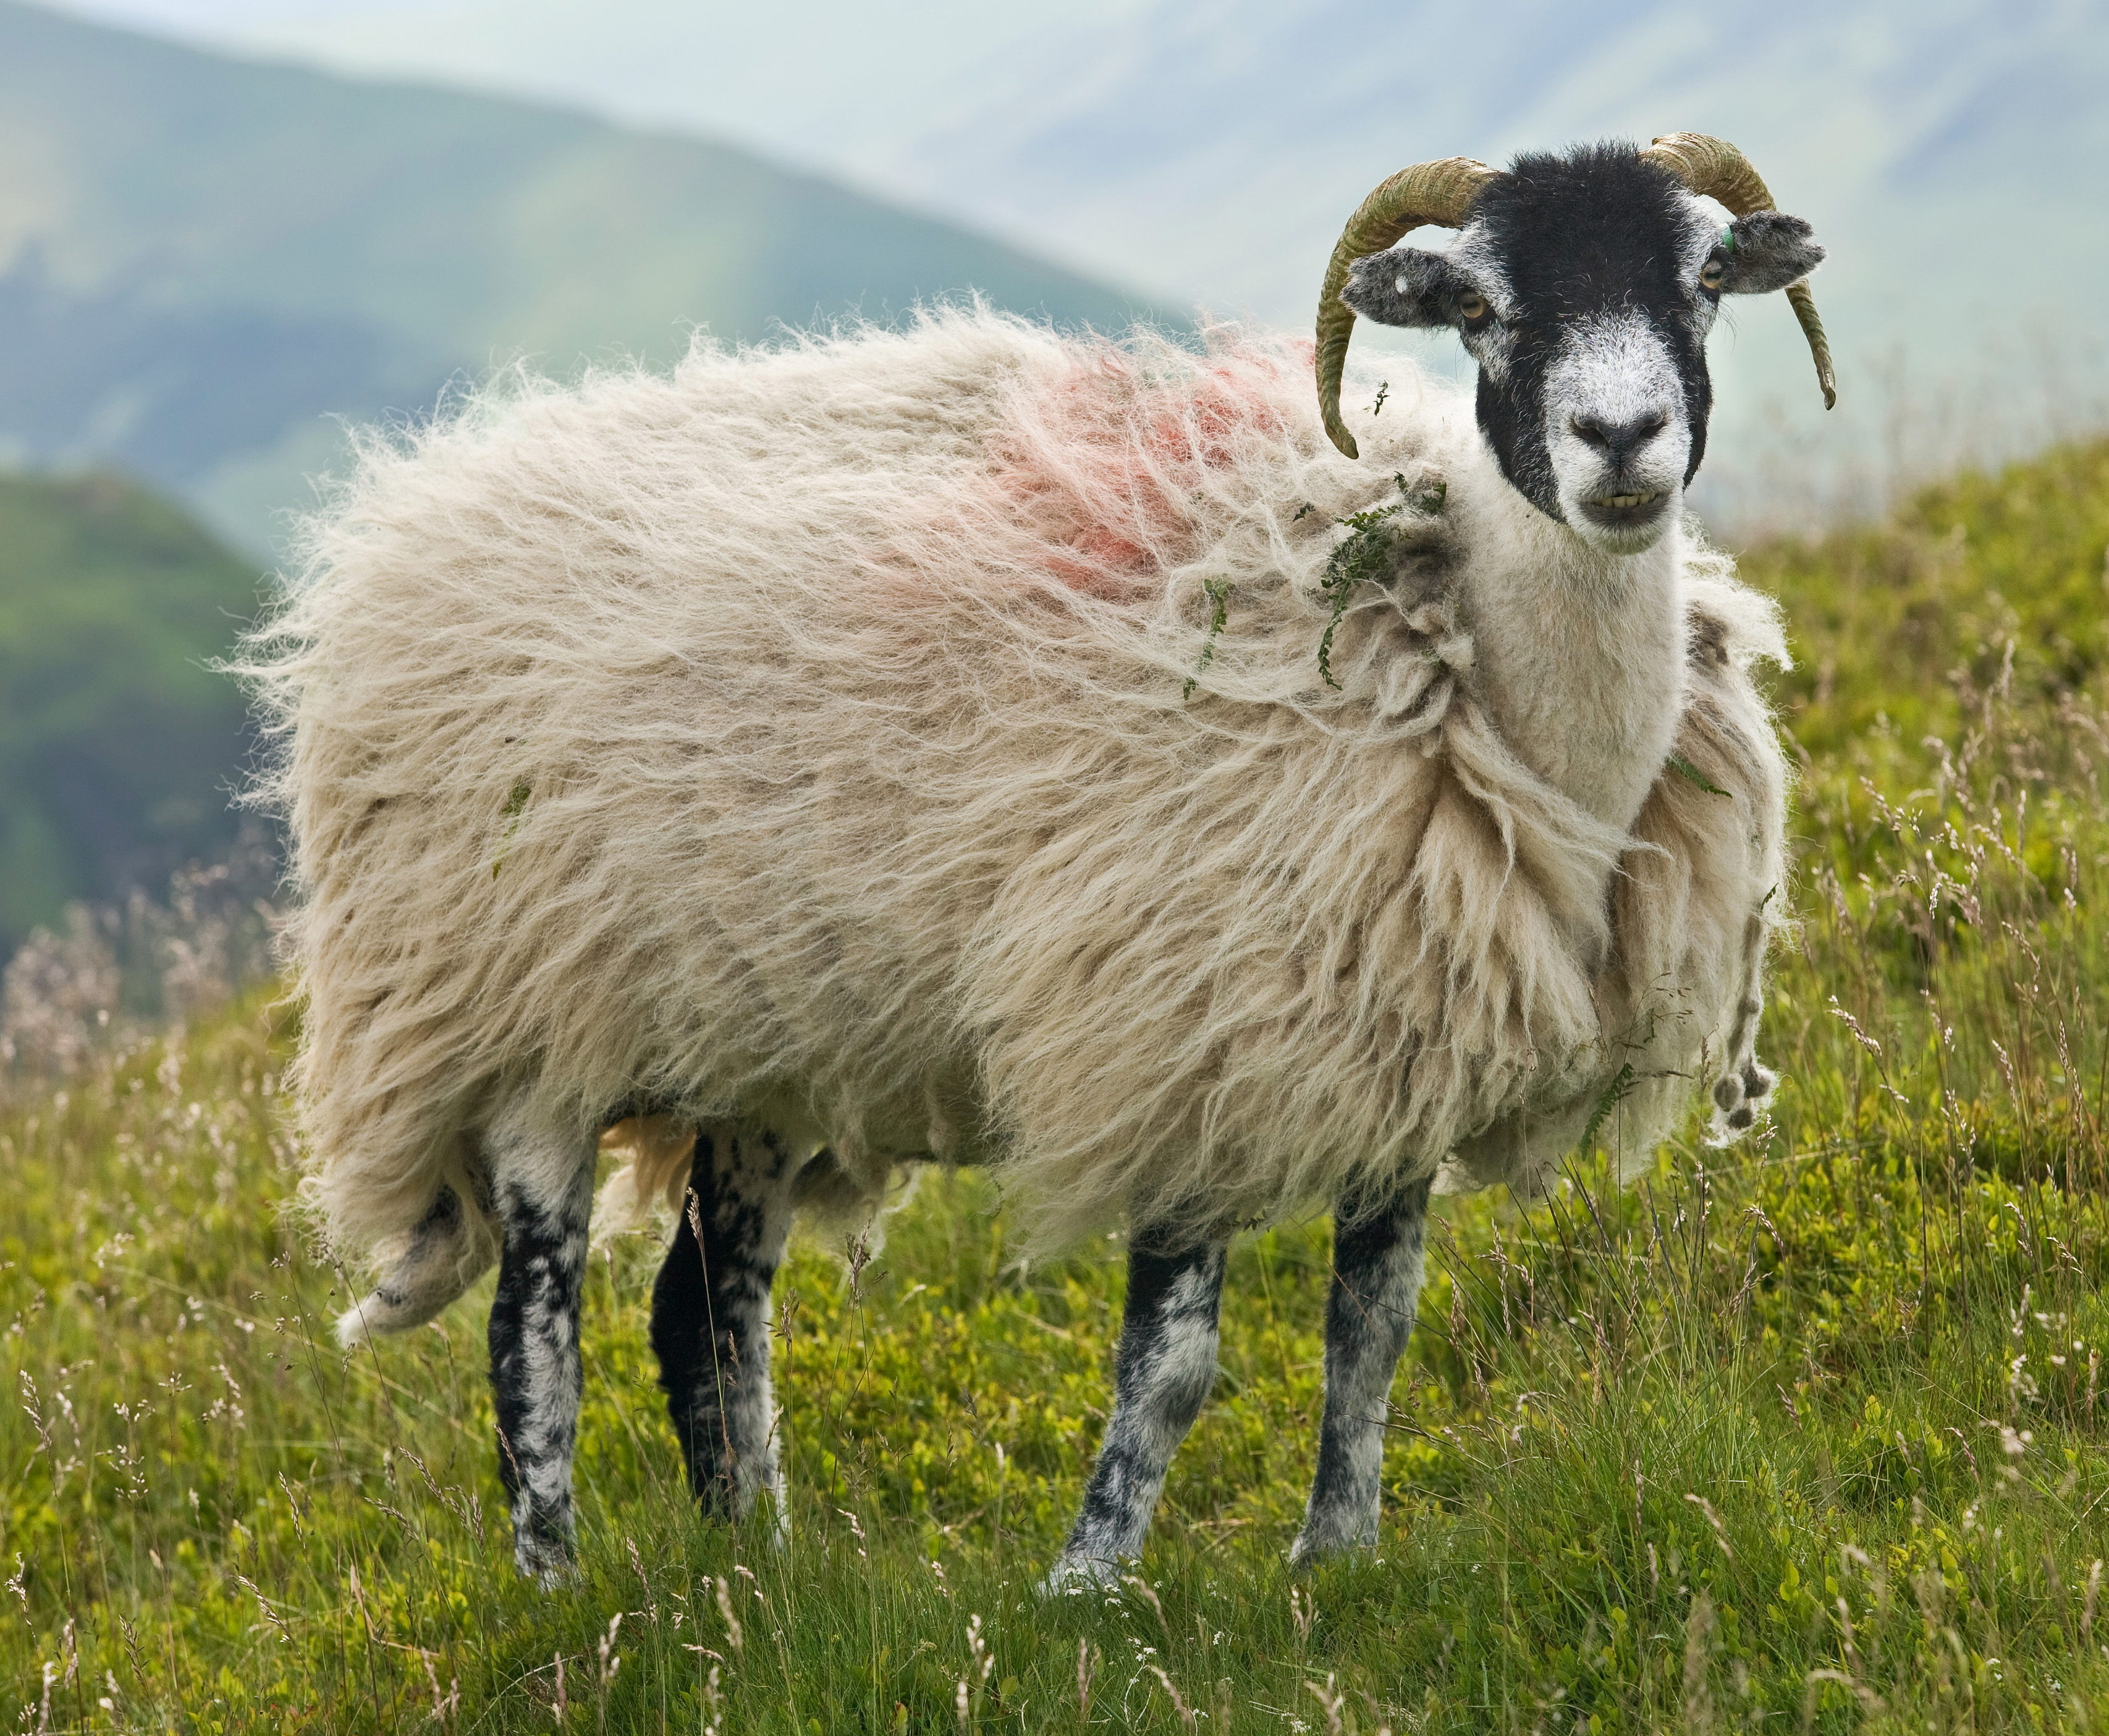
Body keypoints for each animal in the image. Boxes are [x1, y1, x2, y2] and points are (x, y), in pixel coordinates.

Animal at [242, 129, 1830, 1578]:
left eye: (1699, 281)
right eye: (1482, 305)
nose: (1620, 439)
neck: (1483, 688)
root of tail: (420, 507)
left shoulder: (1393, 1044)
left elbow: (1370, 1333)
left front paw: (1334, 1559)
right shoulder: (1185, 1034)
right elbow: (1172, 1365)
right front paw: (1087, 1584)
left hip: (753, 1040)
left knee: (705, 1308)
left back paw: (762, 1575)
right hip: (512, 1019)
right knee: (534, 1333)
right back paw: (562, 1592)